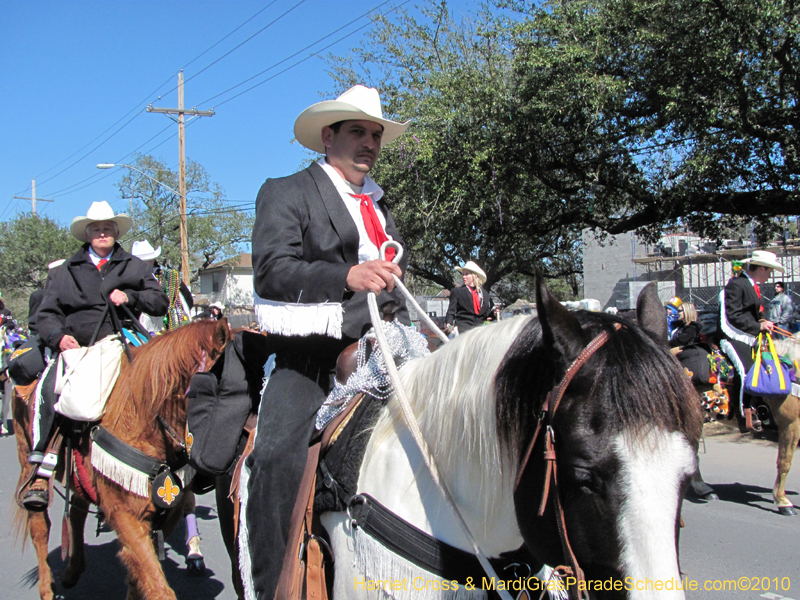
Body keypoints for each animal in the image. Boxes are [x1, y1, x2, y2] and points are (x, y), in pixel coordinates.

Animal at [12, 316, 231, 596]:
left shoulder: (164, 514)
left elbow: (139, 578)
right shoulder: (125, 515)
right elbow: (157, 587)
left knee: (77, 513)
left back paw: (73, 570)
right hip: (25, 457)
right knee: (39, 525)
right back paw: (46, 588)